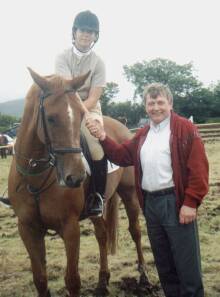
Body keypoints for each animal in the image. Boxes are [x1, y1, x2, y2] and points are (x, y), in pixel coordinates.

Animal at [8, 69, 153, 296]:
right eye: (50, 118)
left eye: (80, 115)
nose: (76, 177)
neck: (35, 178)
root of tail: (122, 126)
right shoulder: (28, 229)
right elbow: (40, 279)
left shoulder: (70, 228)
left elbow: (73, 280)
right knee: (102, 235)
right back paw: (102, 281)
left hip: (129, 194)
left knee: (135, 232)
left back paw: (144, 276)